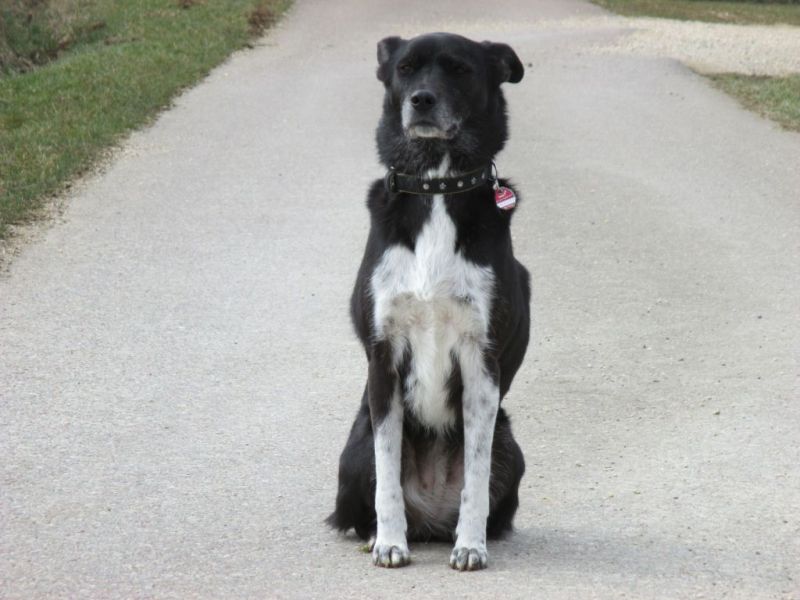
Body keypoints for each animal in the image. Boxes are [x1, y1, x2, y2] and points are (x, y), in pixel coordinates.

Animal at [327, 32, 530, 571]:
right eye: (405, 68)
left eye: (459, 70)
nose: (421, 100)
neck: (437, 185)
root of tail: (431, 521)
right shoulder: (384, 357)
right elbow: (387, 471)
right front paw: (390, 543)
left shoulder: (482, 362)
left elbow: (476, 474)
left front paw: (471, 546)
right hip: (352, 449)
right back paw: (382, 534)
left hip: (512, 446)